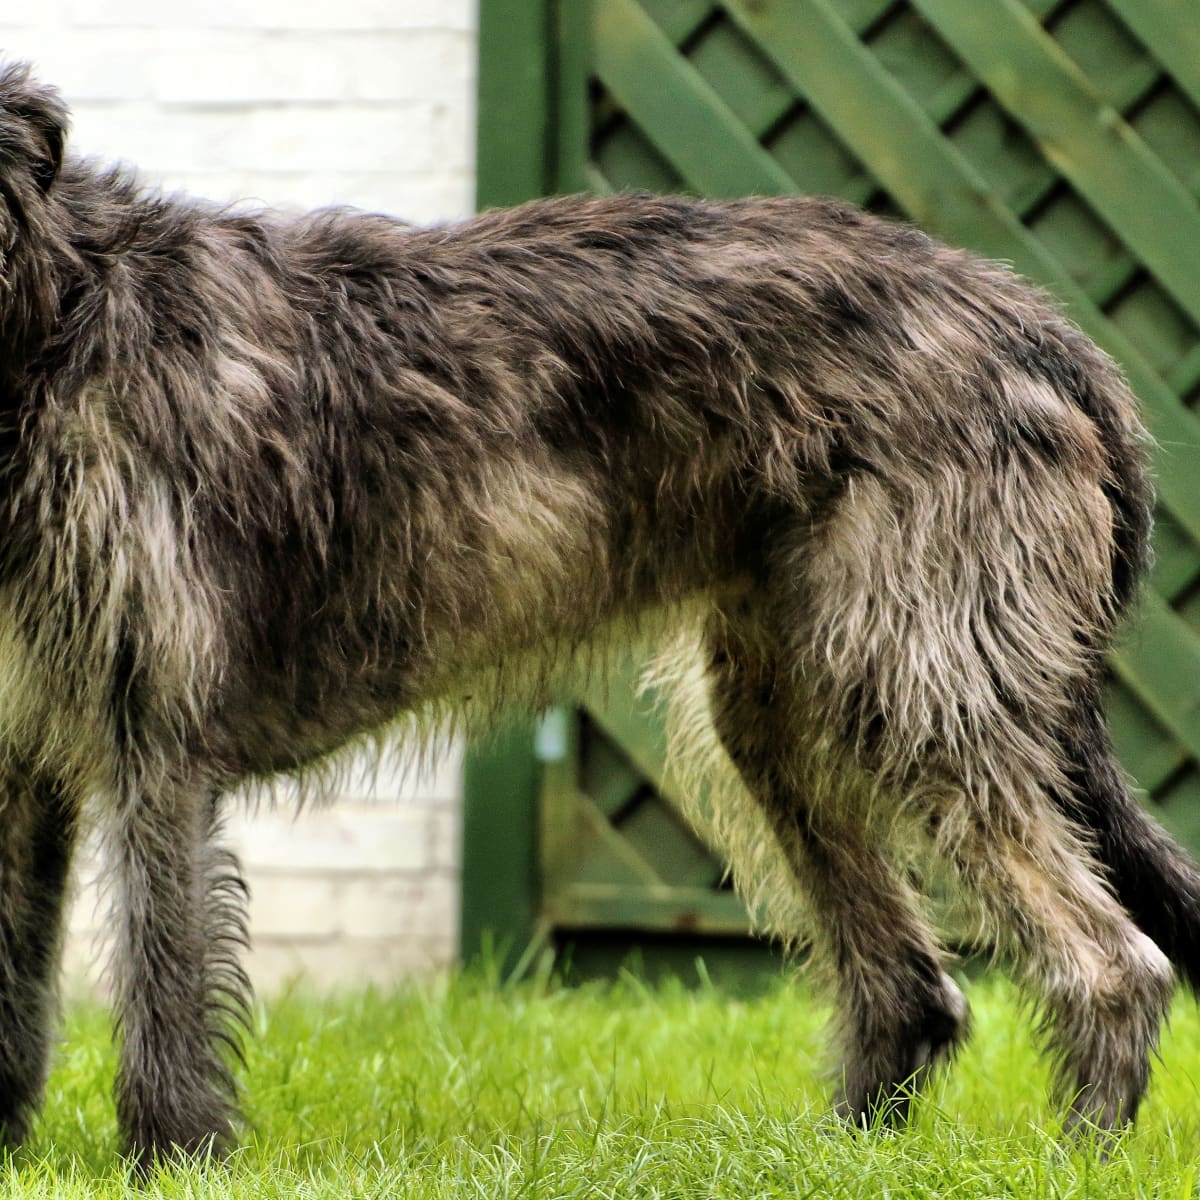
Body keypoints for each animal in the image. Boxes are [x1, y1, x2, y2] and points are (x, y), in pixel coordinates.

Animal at [0, 58, 1195, 1161]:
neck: (54, 320)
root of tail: (1039, 325)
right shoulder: (24, 755)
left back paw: (1076, 1155)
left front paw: (170, 1159)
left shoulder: (157, 735)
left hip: (913, 679)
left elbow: (162, 971)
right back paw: (849, 1155)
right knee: (914, 985)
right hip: (783, 713)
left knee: (1114, 959)